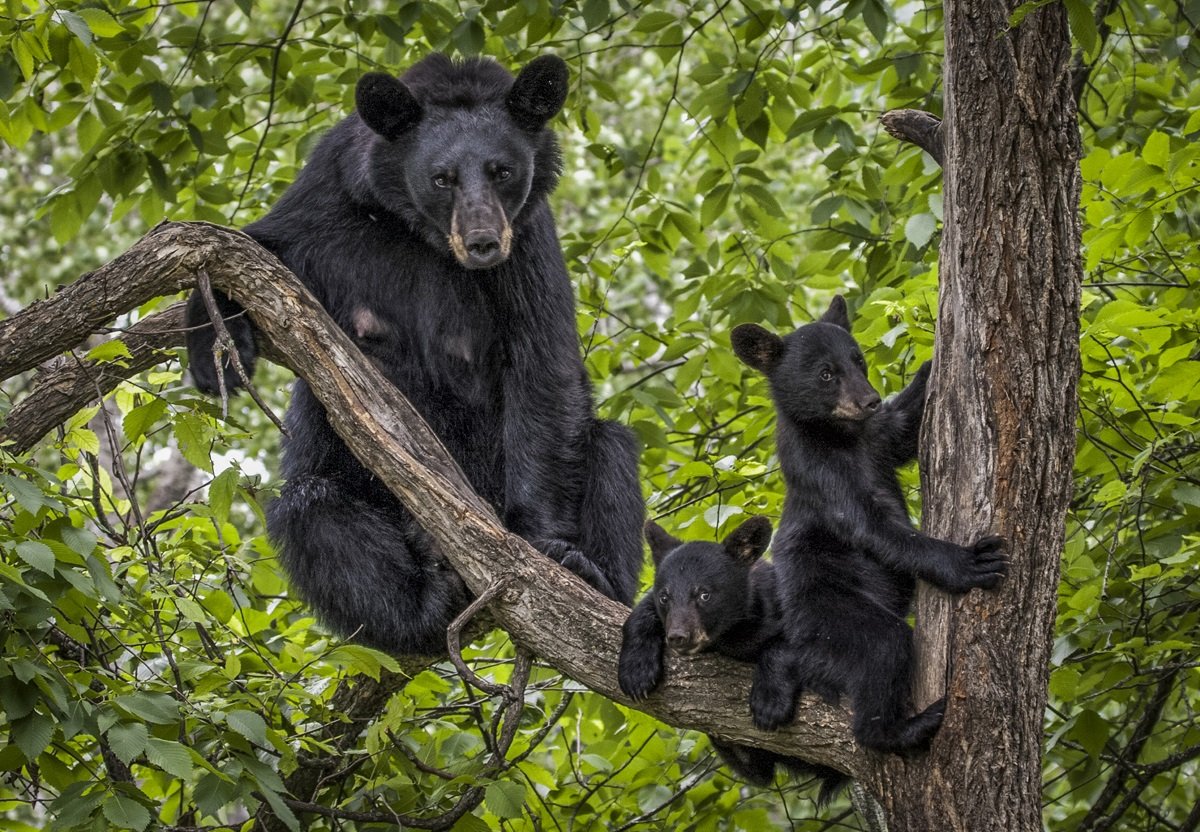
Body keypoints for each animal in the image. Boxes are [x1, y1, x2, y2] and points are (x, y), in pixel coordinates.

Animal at [184, 54, 644, 655]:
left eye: (502, 171)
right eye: (441, 177)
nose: (482, 242)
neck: (419, 233)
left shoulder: (529, 241)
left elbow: (543, 364)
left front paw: (548, 549)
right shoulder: (328, 197)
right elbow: (252, 248)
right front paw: (213, 349)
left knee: (610, 447)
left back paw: (596, 576)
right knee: (314, 510)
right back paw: (423, 605)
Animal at [617, 516, 846, 800]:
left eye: (704, 594)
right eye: (665, 596)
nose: (678, 636)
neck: (730, 635)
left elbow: (791, 646)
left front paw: (769, 704)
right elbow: (640, 614)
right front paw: (636, 672)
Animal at [729, 296, 1007, 755]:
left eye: (857, 360)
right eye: (826, 373)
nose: (870, 400)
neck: (843, 437)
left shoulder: (878, 439)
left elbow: (904, 428)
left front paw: (931, 363)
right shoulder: (822, 474)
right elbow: (874, 527)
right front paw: (967, 562)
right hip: (827, 612)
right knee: (882, 647)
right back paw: (901, 728)